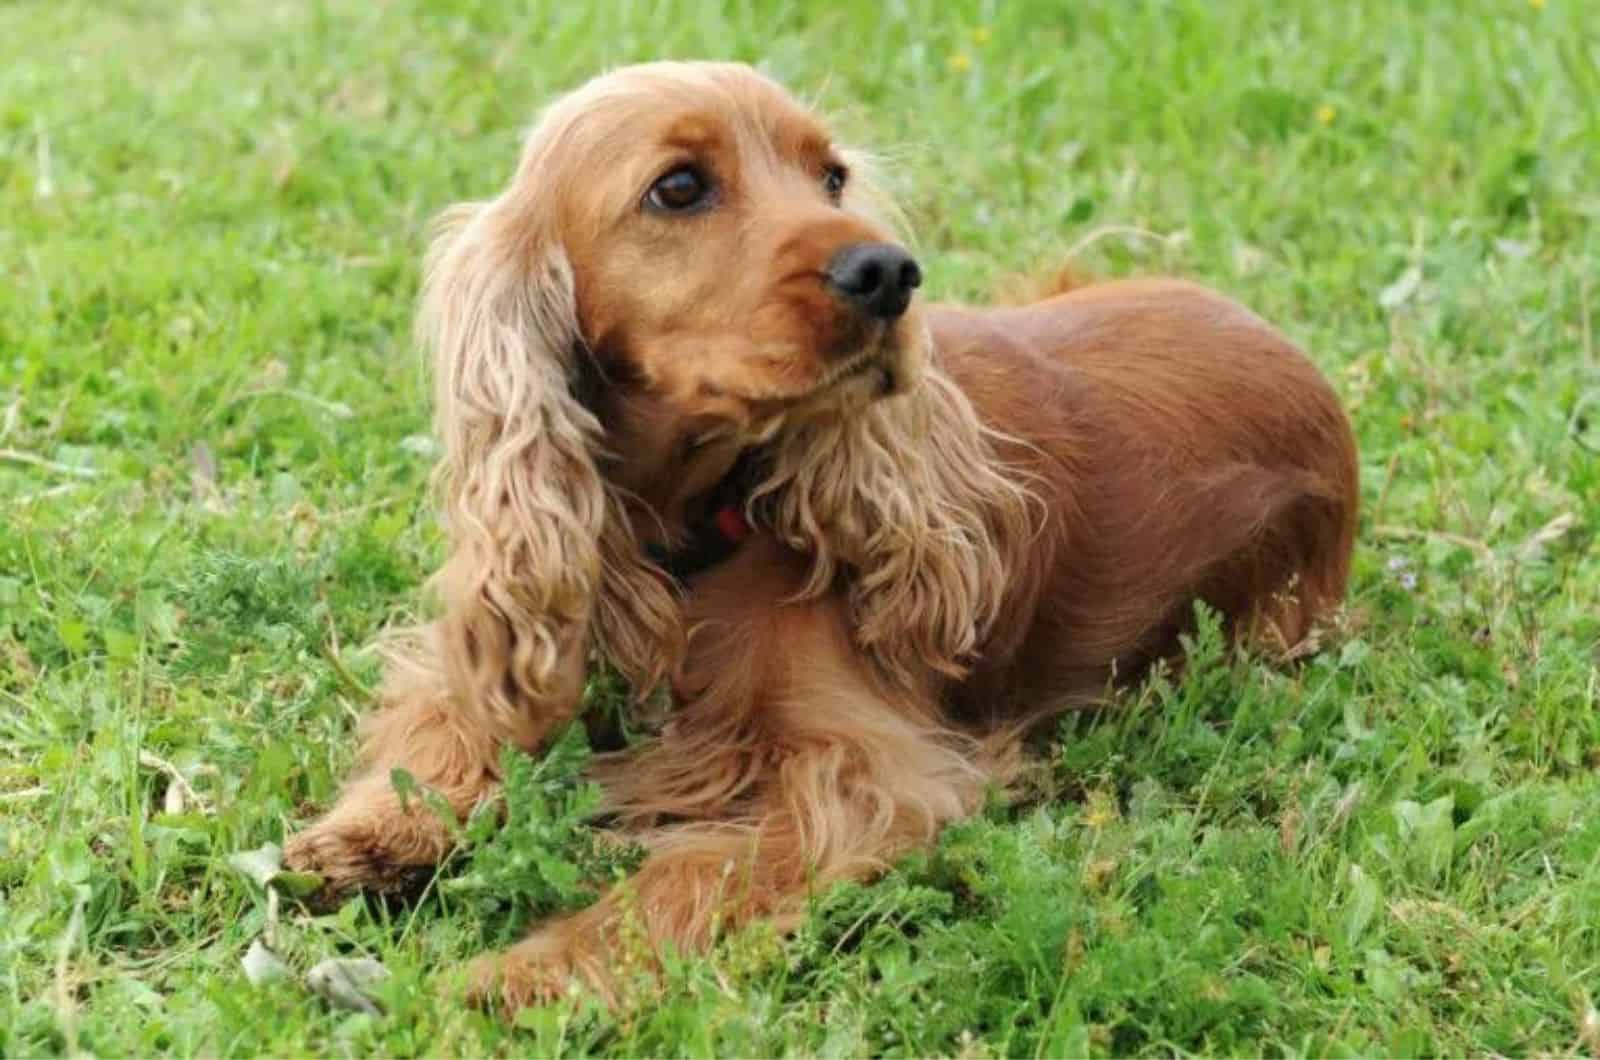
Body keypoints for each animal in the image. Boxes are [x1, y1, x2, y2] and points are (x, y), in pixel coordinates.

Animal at [284, 60, 1350, 1011]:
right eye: (679, 188)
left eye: (830, 177)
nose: (889, 273)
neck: (683, 532)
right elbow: (450, 716)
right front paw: (370, 830)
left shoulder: (862, 776)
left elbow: (691, 874)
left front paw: (532, 973)